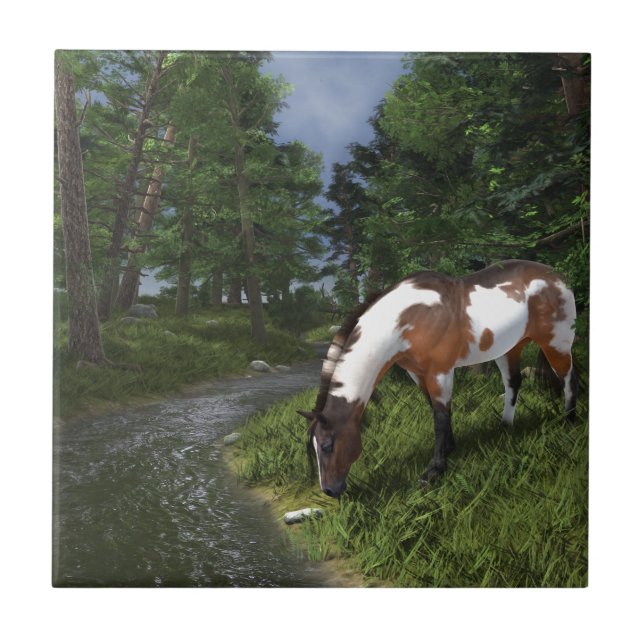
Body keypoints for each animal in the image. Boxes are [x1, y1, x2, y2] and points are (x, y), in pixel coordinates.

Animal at [298, 260, 578, 498]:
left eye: (327, 445)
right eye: (314, 446)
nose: (329, 491)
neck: (408, 317)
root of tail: (556, 276)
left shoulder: (440, 371)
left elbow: (440, 417)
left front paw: (434, 471)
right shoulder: (417, 373)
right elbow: (435, 408)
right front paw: (450, 449)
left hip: (556, 343)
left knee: (568, 378)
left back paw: (569, 420)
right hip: (509, 348)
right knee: (513, 383)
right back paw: (505, 427)